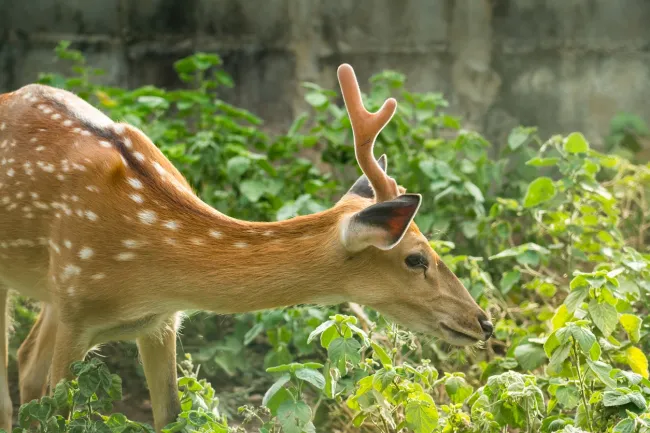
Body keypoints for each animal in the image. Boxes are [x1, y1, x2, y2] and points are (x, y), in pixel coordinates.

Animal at [0, 64, 493, 431]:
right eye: (416, 258)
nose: (484, 322)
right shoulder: (77, 306)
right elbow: (61, 413)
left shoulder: (160, 321)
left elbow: (170, 417)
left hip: (50, 292)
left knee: (26, 360)